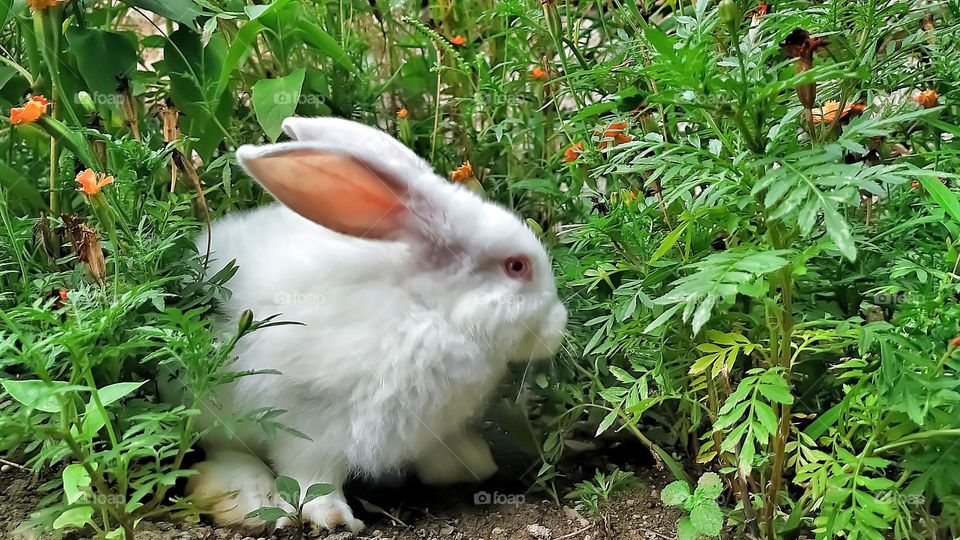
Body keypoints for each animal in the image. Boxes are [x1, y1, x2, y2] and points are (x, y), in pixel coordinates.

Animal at [184, 117, 568, 533]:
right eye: (517, 266)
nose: (558, 326)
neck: (427, 311)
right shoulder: (307, 425)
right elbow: (312, 477)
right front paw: (334, 518)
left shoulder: (430, 430)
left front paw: (472, 465)